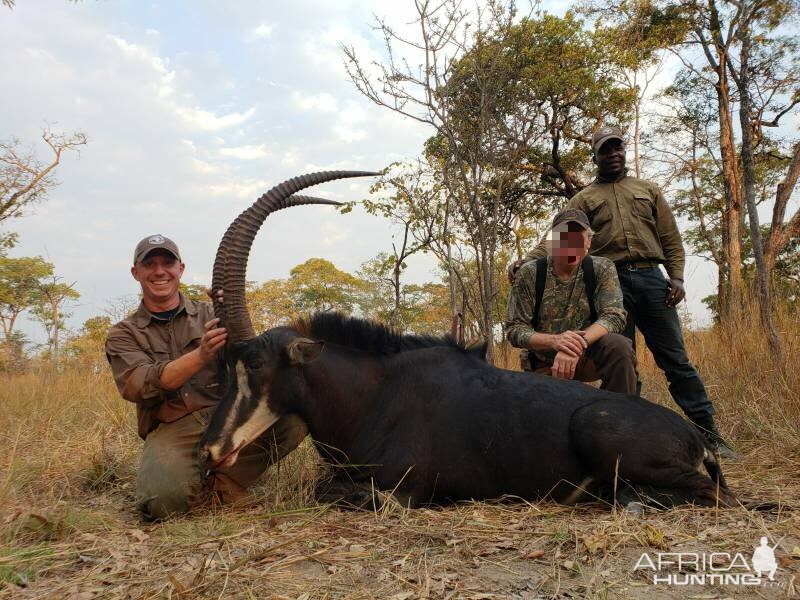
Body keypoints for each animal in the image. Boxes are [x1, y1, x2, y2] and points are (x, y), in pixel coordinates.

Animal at [197, 170, 736, 510]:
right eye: (222, 367)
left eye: (254, 365)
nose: (206, 451)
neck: (374, 394)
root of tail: (697, 440)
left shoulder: (403, 489)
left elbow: (335, 492)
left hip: (603, 434)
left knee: (713, 495)